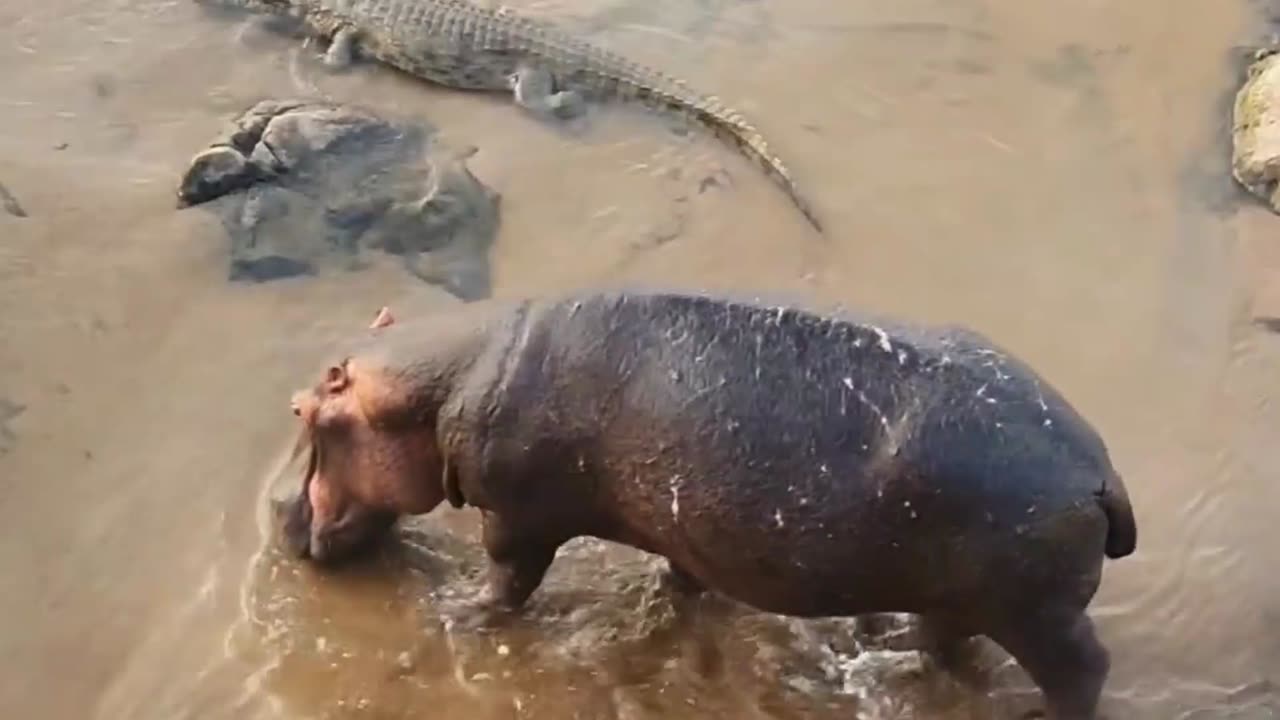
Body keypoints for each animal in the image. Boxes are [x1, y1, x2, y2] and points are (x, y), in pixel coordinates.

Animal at [282, 288, 1141, 712]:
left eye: (301, 410)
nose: (281, 520)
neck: (438, 381)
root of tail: (1099, 471)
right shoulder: (680, 527)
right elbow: (682, 579)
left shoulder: (518, 519)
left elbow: (507, 580)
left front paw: (455, 610)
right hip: (971, 595)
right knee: (944, 642)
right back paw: (887, 653)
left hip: (1036, 612)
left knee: (1083, 670)